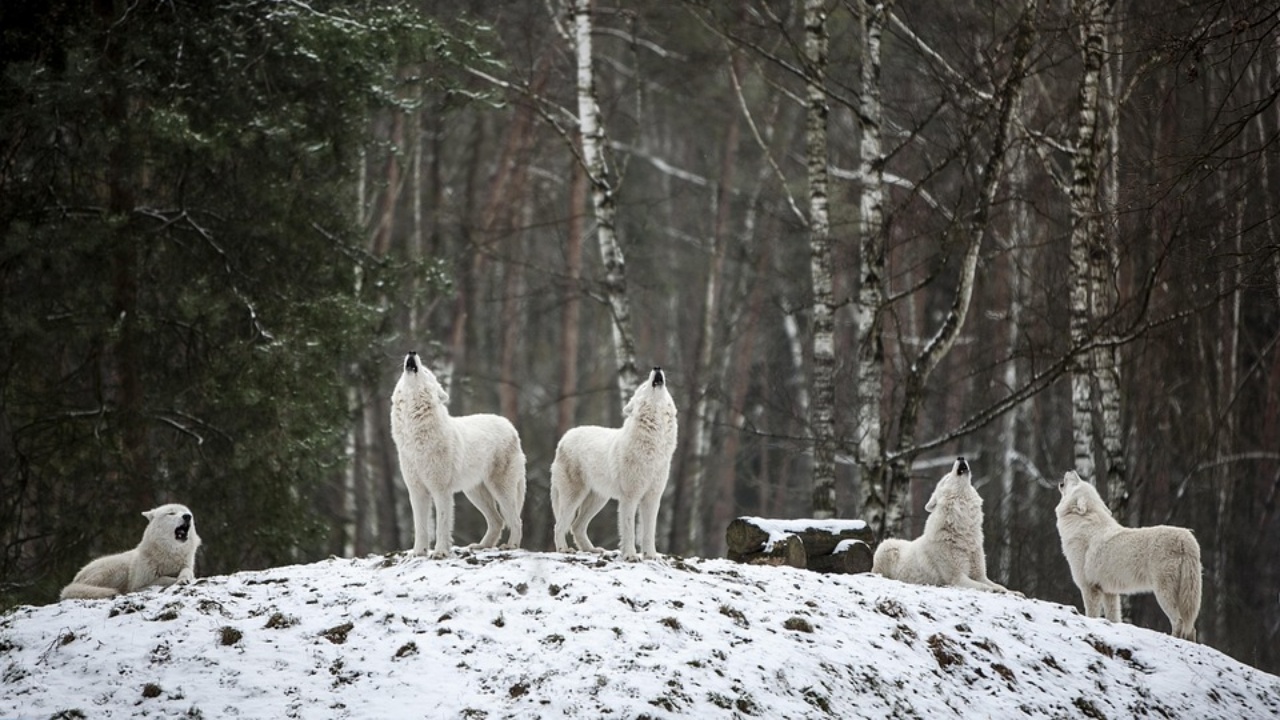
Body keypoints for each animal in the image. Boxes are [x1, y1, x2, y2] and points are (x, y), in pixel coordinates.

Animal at [60, 502, 200, 597]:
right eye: (171, 513)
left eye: (187, 513)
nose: (187, 516)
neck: (170, 554)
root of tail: (74, 581)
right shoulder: (138, 584)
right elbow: (163, 579)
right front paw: (175, 580)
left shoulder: (186, 565)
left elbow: (187, 571)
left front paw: (184, 579)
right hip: (118, 569)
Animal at [391, 351, 527, 558]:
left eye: (427, 372)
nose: (412, 352)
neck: (415, 436)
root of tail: (510, 426)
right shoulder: (416, 491)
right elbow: (420, 527)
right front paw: (418, 553)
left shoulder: (441, 491)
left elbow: (441, 524)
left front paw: (440, 552)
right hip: (474, 493)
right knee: (497, 521)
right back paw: (482, 546)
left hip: (500, 490)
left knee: (516, 520)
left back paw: (511, 546)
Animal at [550, 363, 680, 561]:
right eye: (644, 386)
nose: (657, 367)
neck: (654, 446)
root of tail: (565, 438)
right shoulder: (630, 497)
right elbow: (629, 529)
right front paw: (631, 556)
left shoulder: (652, 497)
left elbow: (649, 532)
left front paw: (651, 555)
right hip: (573, 497)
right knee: (560, 525)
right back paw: (564, 549)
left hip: (598, 500)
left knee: (576, 526)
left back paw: (592, 550)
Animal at [865, 456, 1013, 591]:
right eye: (946, 478)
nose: (960, 457)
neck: (963, 530)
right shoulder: (957, 578)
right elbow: (984, 587)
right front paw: (996, 590)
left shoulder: (980, 575)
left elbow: (999, 586)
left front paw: (1010, 591)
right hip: (887, 546)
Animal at [1049, 471, 1198, 638]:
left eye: (1077, 482)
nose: (1072, 471)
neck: (1083, 524)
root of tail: (1185, 537)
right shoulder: (1109, 592)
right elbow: (1113, 618)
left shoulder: (1089, 588)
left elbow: (1091, 615)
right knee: (1191, 627)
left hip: (1163, 593)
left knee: (1179, 622)